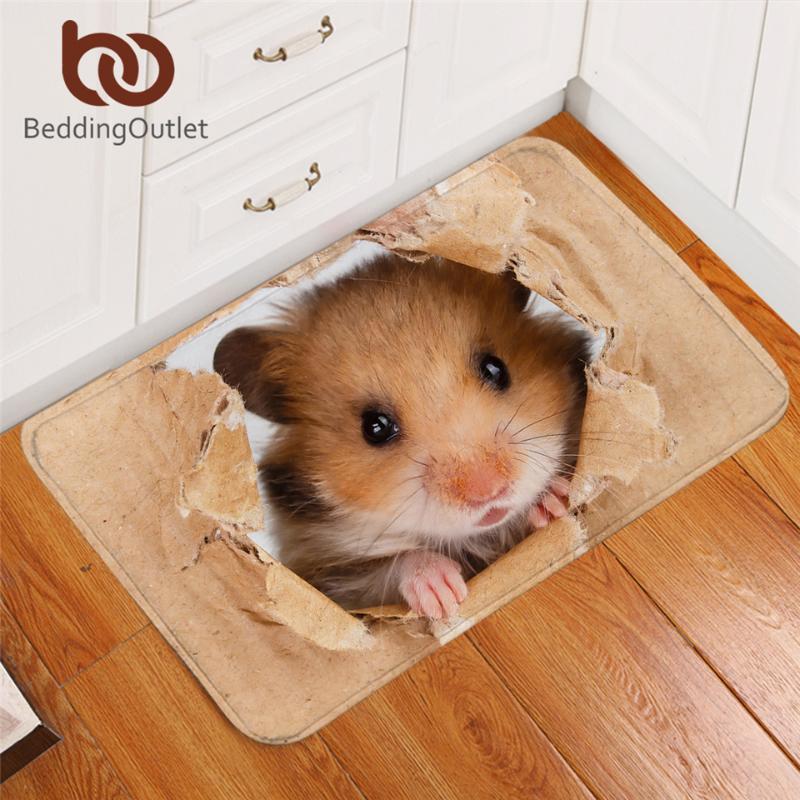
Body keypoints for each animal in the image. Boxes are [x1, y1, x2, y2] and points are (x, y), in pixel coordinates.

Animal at [213, 251, 592, 619]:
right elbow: (392, 566)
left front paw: (554, 502)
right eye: (375, 427)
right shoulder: (334, 582)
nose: (489, 493)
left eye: (495, 368)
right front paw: (445, 595)